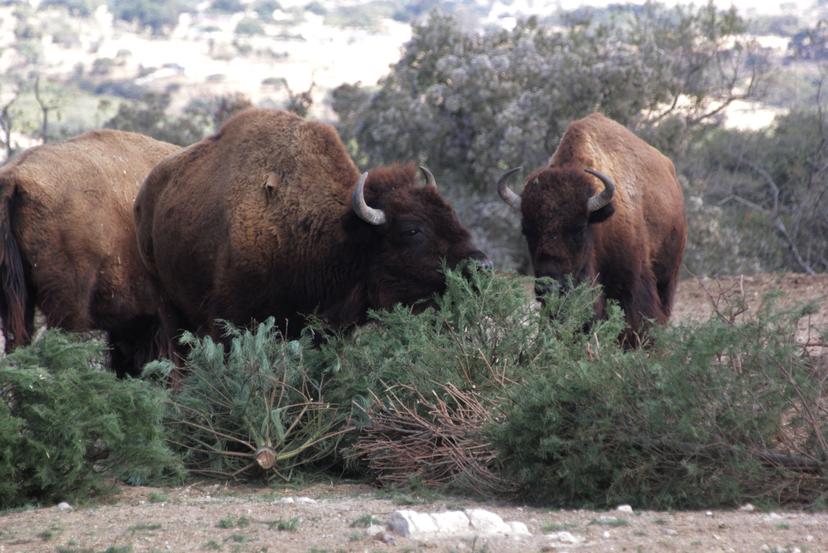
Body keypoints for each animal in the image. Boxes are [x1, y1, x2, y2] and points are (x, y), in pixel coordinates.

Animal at [136, 108, 492, 340]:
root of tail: (145, 194)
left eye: (453, 216)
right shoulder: (228, 320)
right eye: (413, 230)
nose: (482, 267)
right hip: (168, 307)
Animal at [498, 111, 684, 340]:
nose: (549, 287)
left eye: (579, 228)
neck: (598, 224)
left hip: (668, 276)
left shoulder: (632, 283)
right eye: (527, 230)